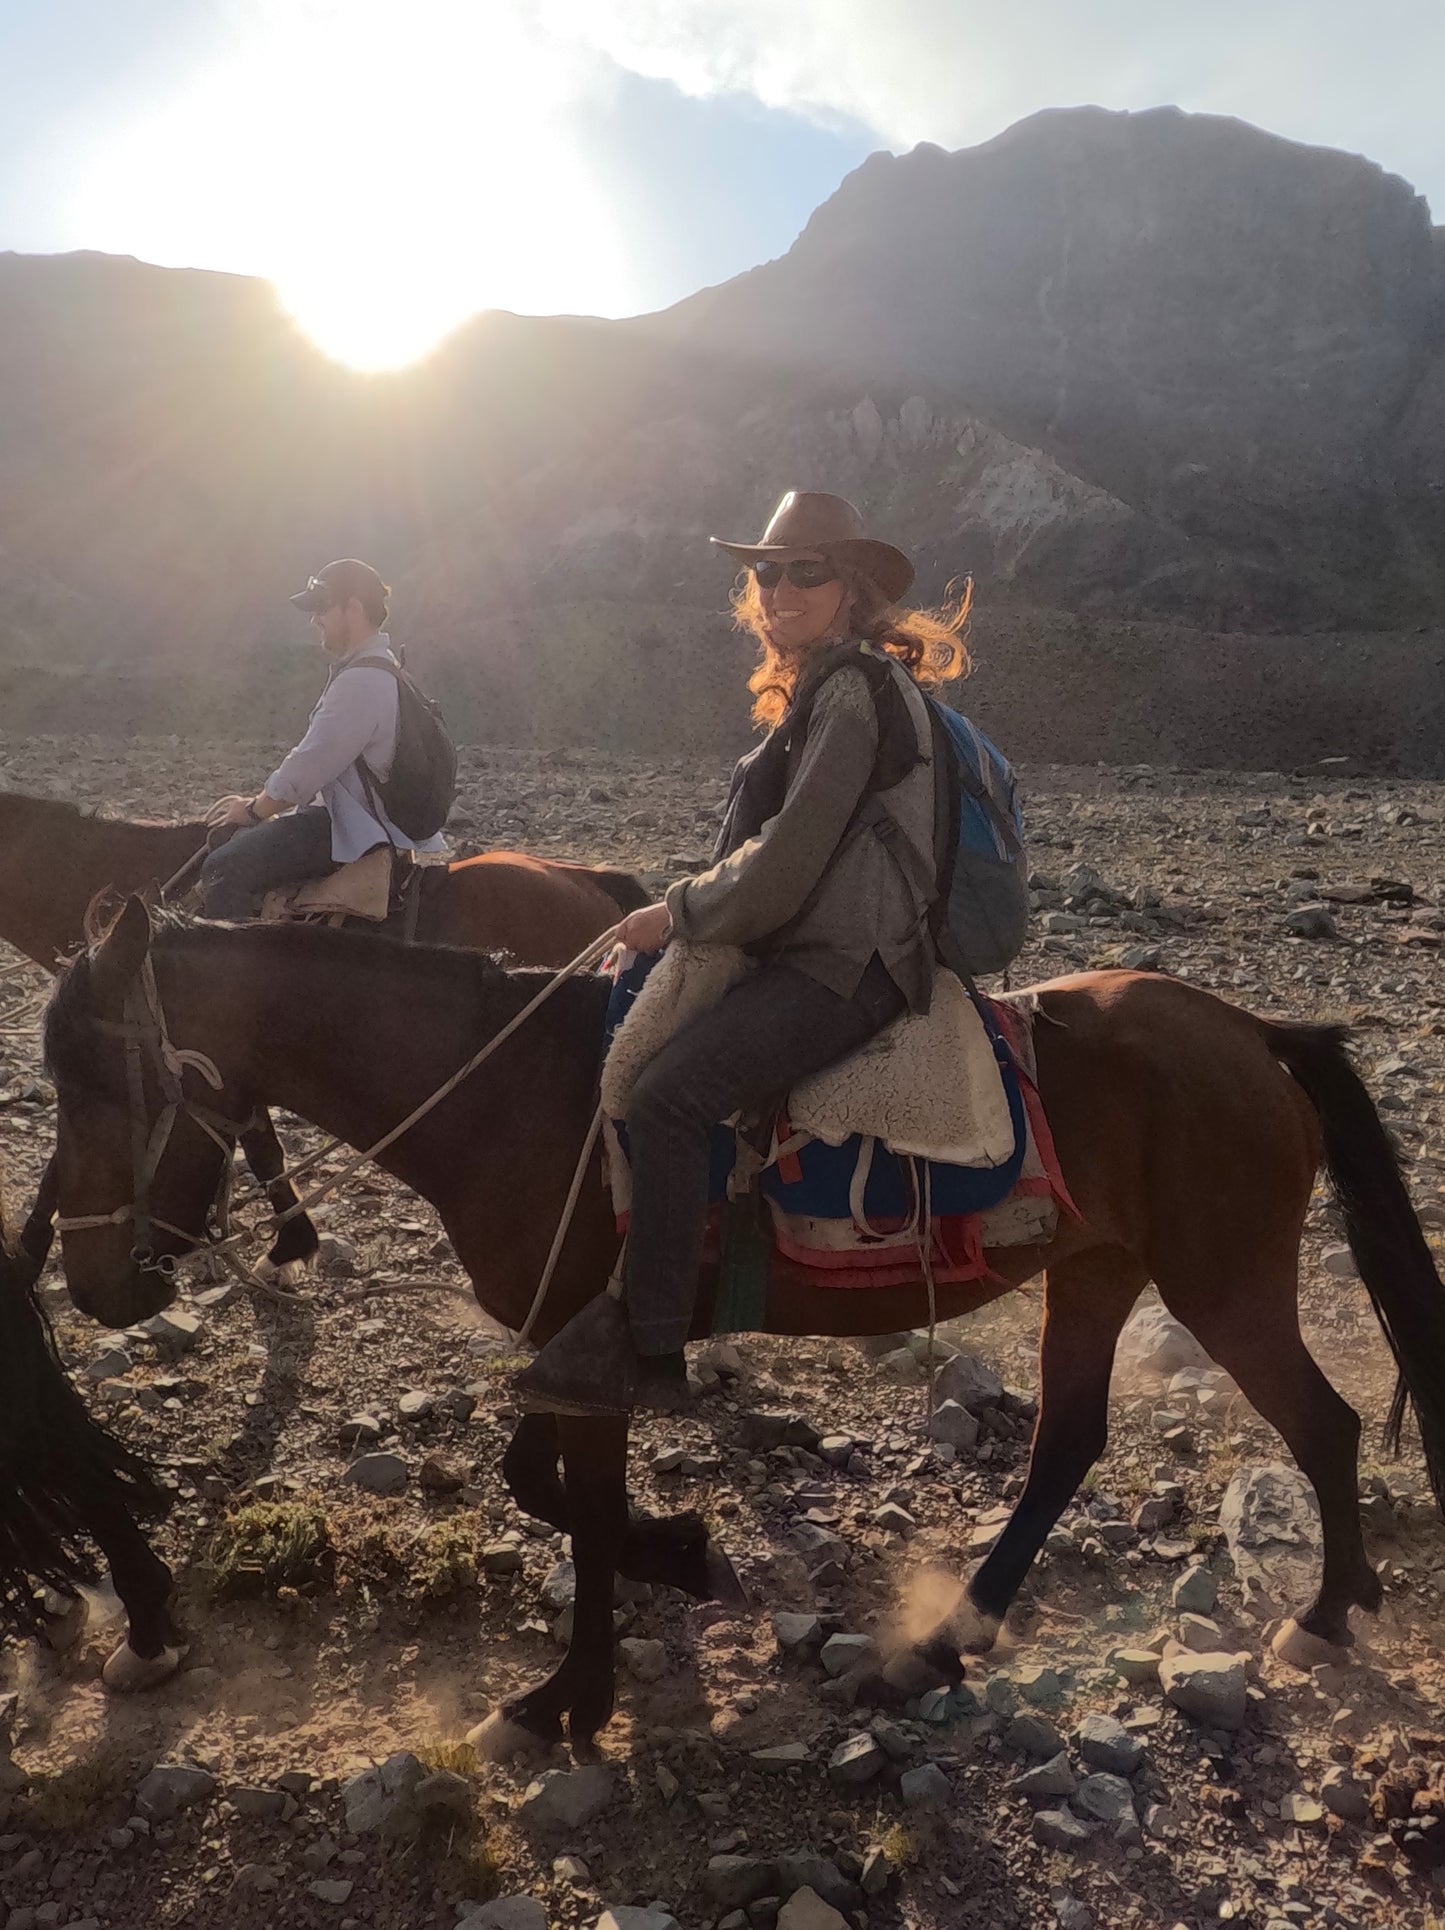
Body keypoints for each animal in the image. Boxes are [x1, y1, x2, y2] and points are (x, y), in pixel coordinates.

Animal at [36, 895, 1445, 1760]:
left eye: (105, 1082)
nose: (91, 1284)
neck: (512, 1092)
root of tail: (1248, 1032)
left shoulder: (592, 1341)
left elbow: (579, 1507)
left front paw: (562, 1696)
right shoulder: (573, 1343)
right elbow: (542, 1484)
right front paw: (682, 1555)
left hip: (1223, 1281)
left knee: (1318, 1425)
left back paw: (1323, 1615)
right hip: (1095, 1272)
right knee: (1066, 1444)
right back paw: (947, 1638)